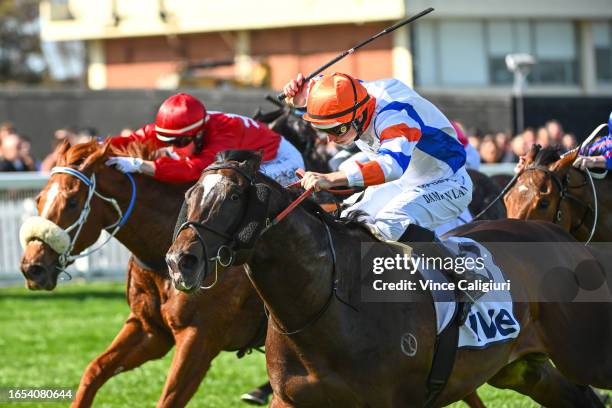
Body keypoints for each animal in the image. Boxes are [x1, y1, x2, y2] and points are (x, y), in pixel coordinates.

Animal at [20, 141, 266, 408]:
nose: (32, 268)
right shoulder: (149, 329)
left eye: (73, 202)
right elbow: (94, 371)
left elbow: (168, 398)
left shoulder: (198, 338)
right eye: (39, 199)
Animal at [167, 150, 612, 408]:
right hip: (520, 368)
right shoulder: (291, 400)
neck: (327, 303)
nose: (179, 261)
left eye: (232, 197)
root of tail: (563, 238)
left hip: (586, 354)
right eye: (189, 194)